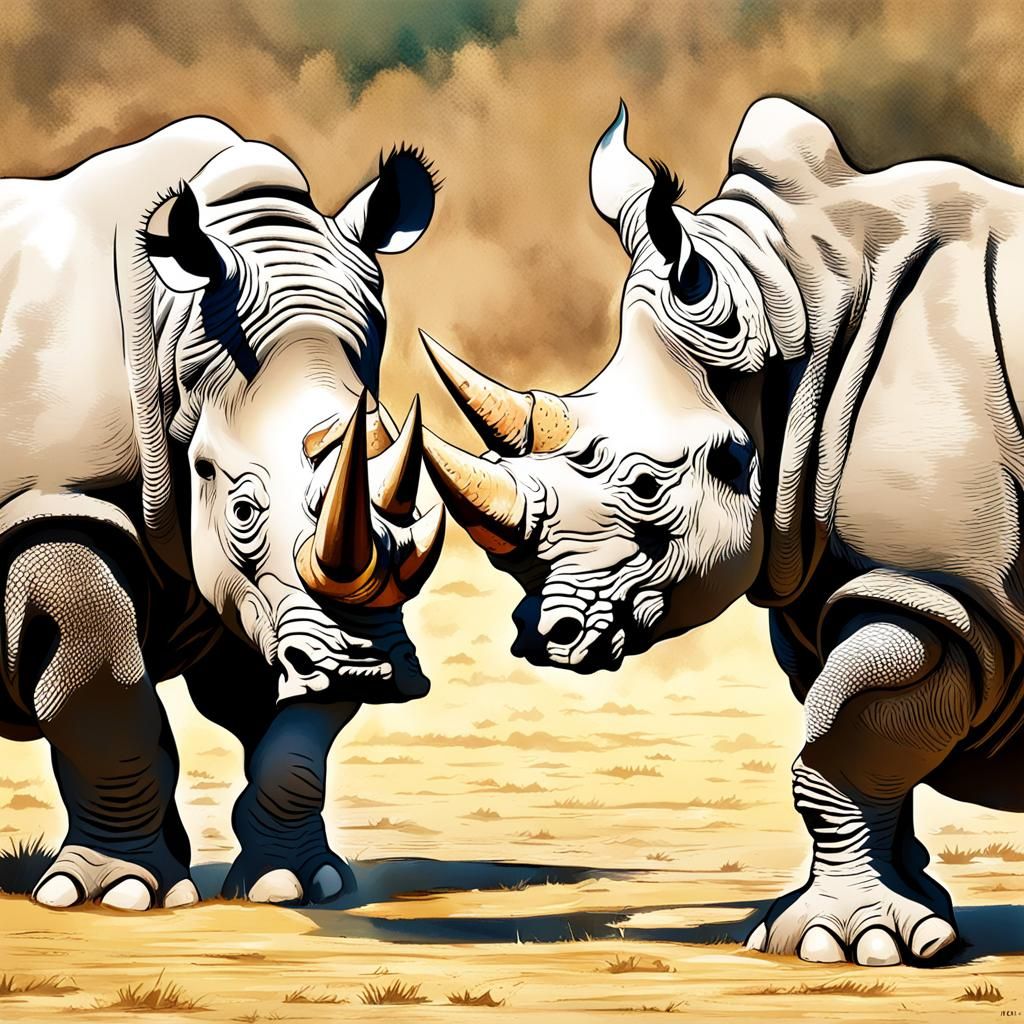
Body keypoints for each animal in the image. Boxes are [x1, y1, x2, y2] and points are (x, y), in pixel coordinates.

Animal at [0, 117, 445, 910]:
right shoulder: (56, 497)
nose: (369, 672)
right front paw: (117, 894)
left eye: (415, 508)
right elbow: (103, 688)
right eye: (241, 506)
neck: (174, 334)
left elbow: (291, 735)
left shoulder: (270, 600)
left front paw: (295, 884)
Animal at [420, 98, 1024, 966]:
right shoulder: (832, 580)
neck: (793, 312)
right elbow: (861, 738)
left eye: (647, 486)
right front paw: (915, 925)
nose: (546, 636)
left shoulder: (934, 588)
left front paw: (842, 945)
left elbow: (840, 743)